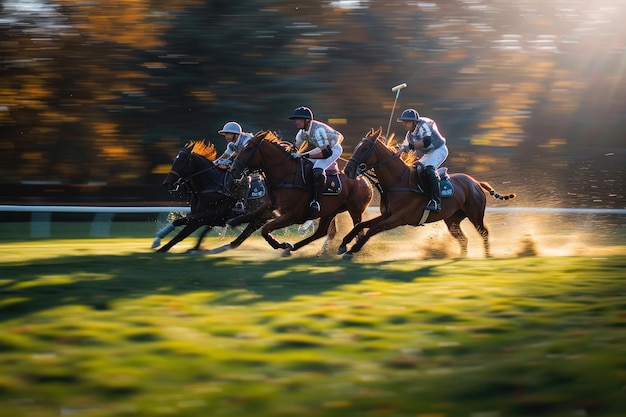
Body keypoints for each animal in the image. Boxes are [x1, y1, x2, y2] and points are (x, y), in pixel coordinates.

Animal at [229, 130, 376, 255]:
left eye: (248, 149)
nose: (233, 170)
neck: (285, 176)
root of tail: (364, 179)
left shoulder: (293, 215)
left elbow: (265, 229)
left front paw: (281, 244)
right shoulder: (271, 207)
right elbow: (253, 216)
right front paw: (234, 222)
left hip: (355, 210)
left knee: (358, 229)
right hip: (330, 211)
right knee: (322, 232)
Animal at [338, 129, 516, 260]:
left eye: (364, 148)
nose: (347, 170)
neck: (397, 182)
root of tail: (476, 183)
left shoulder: (397, 219)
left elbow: (370, 231)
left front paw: (352, 250)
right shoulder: (387, 215)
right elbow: (361, 225)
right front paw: (343, 245)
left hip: (475, 215)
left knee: (484, 233)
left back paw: (487, 256)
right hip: (452, 220)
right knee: (463, 238)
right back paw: (461, 257)